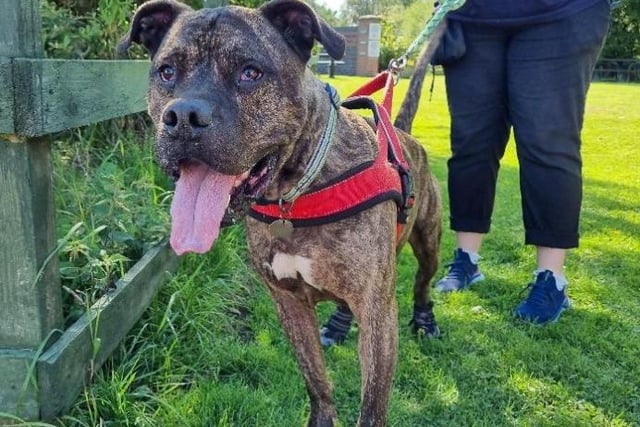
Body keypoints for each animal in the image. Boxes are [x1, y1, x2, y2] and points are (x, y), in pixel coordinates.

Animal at [119, 1, 440, 426]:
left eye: (250, 72)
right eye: (167, 71)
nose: (183, 117)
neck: (296, 189)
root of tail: (401, 132)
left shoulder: (377, 312)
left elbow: (372, 405)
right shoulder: (289, 303)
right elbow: (317, 383)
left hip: (428, 242)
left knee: (423, 281)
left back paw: (424, 318)